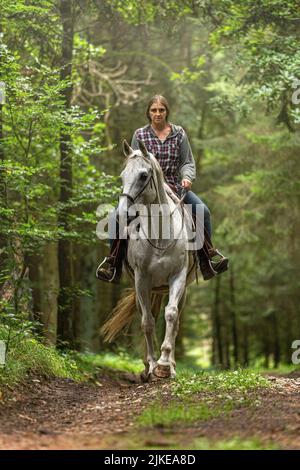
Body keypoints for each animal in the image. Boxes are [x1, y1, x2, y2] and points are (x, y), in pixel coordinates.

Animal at [101, 140, 197, 378]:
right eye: (122, 175)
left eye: (144, 176)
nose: (123, 214)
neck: (160, 235)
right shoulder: (141, 279)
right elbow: (146, 321)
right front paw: (152, 364)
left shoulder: (178, 277)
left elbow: (170, 315)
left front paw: (164, 364)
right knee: (149, 316)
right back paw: (147, 365)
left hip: (179, 290)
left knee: (176, 321)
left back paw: (171, 364)